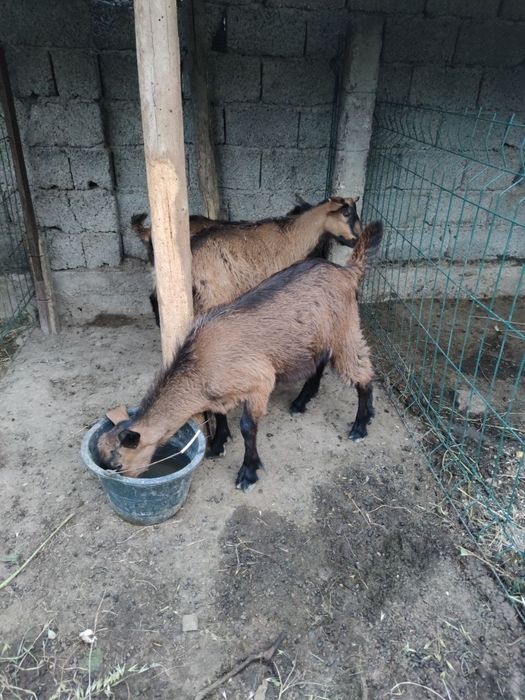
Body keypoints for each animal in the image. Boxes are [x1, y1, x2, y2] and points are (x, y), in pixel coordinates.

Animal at [98, 219, 383, 492]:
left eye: (118, 464)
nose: (122, 481)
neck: (199, 363)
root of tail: (347, 271)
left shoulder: (260, 381)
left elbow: (248, 428)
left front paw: (248, 472)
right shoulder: (220, 390)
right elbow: (219, 413)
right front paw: (219, 442)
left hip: (345, 328)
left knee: (362, 373)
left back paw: (361, 424)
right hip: (318, 336)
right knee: (321, 362)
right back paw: (302, 401)